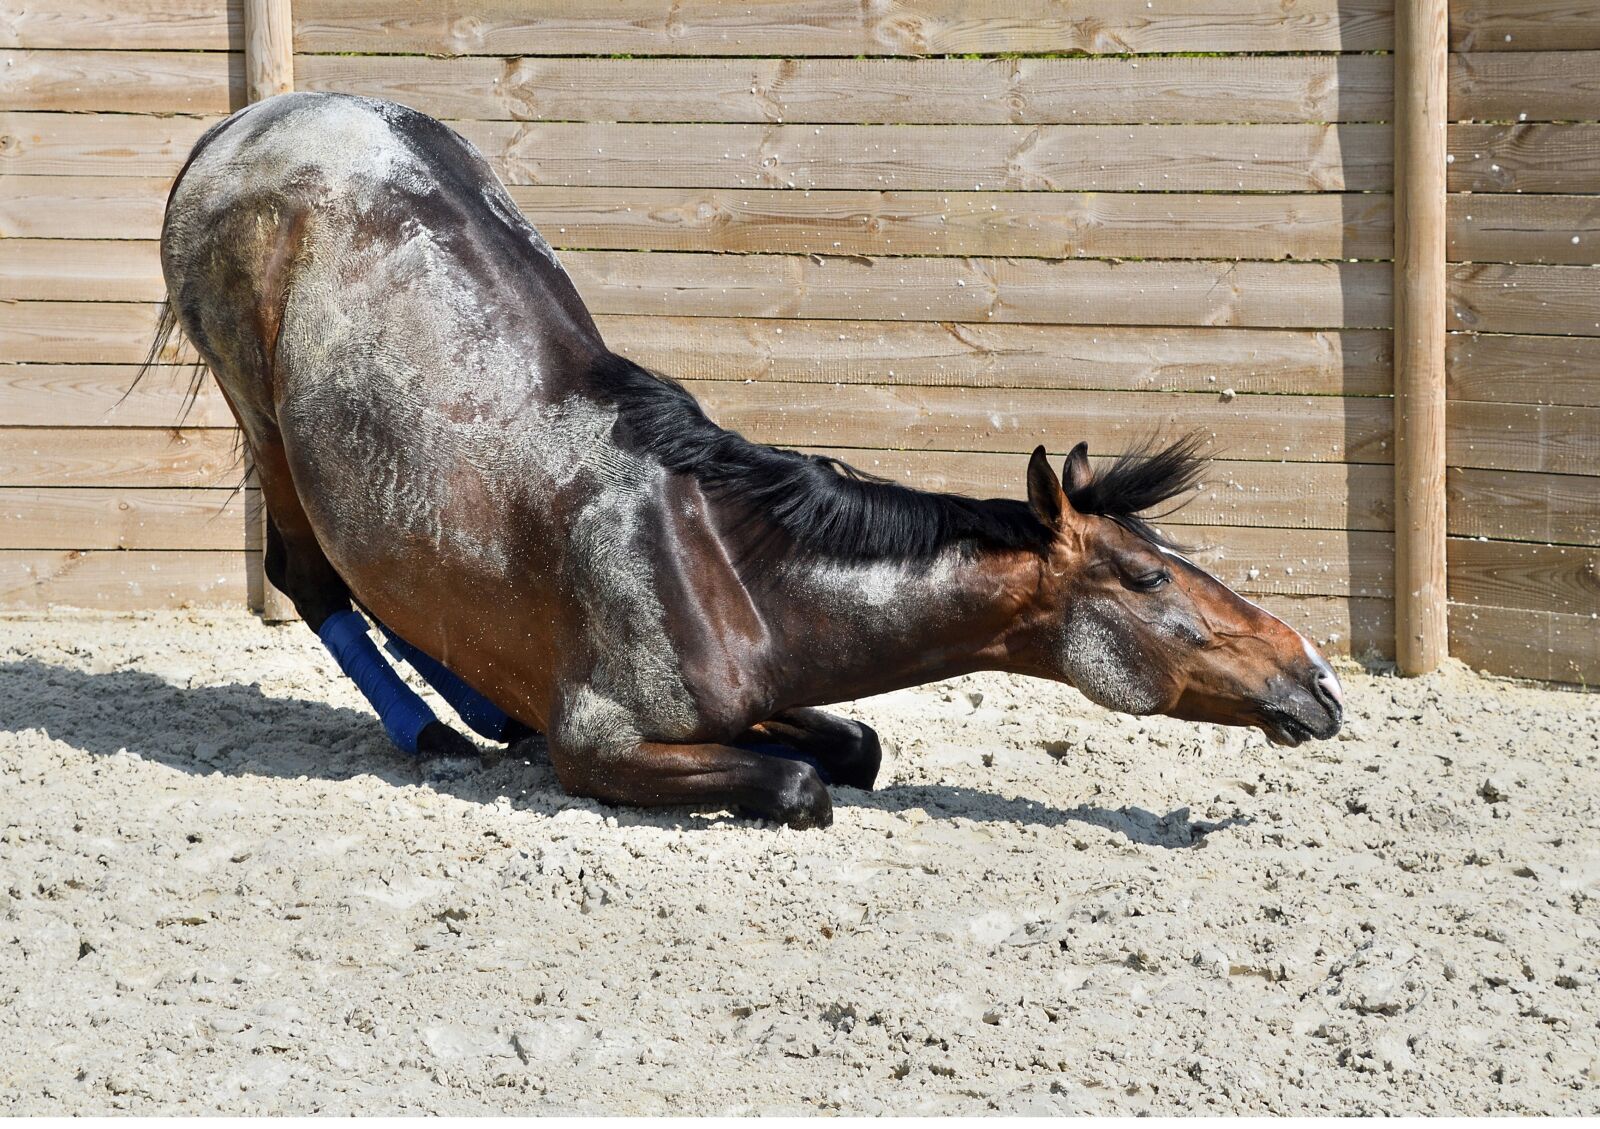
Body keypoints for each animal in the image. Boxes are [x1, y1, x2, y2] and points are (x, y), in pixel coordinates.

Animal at [146, 92, 1343, 829]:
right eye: (1146, 576)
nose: (1316, 676)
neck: (728, 567)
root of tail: (240, 124)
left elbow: (853, 745)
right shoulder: (604, 747)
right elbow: (801, 785)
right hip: (265, 422)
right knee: (313, 577)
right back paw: (434, 734)